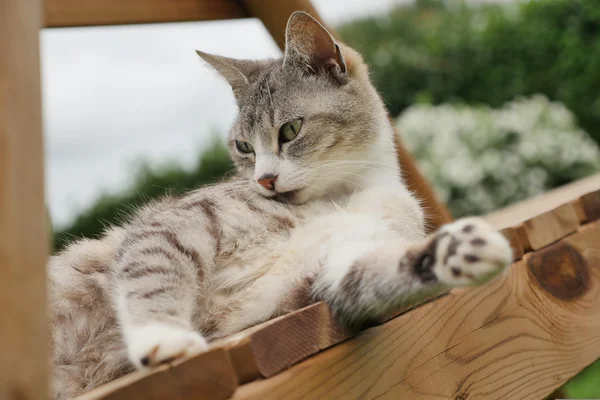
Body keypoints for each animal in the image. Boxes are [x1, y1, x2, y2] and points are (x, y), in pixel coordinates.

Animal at [51, 10, 510, 398]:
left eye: (290, 130)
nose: (263, 180)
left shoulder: (337, 263)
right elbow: (154, 275)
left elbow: (381, 272)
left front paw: (459, 251)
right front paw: (165, 339)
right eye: (243, 147)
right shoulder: (176, 223)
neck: (345, 193)